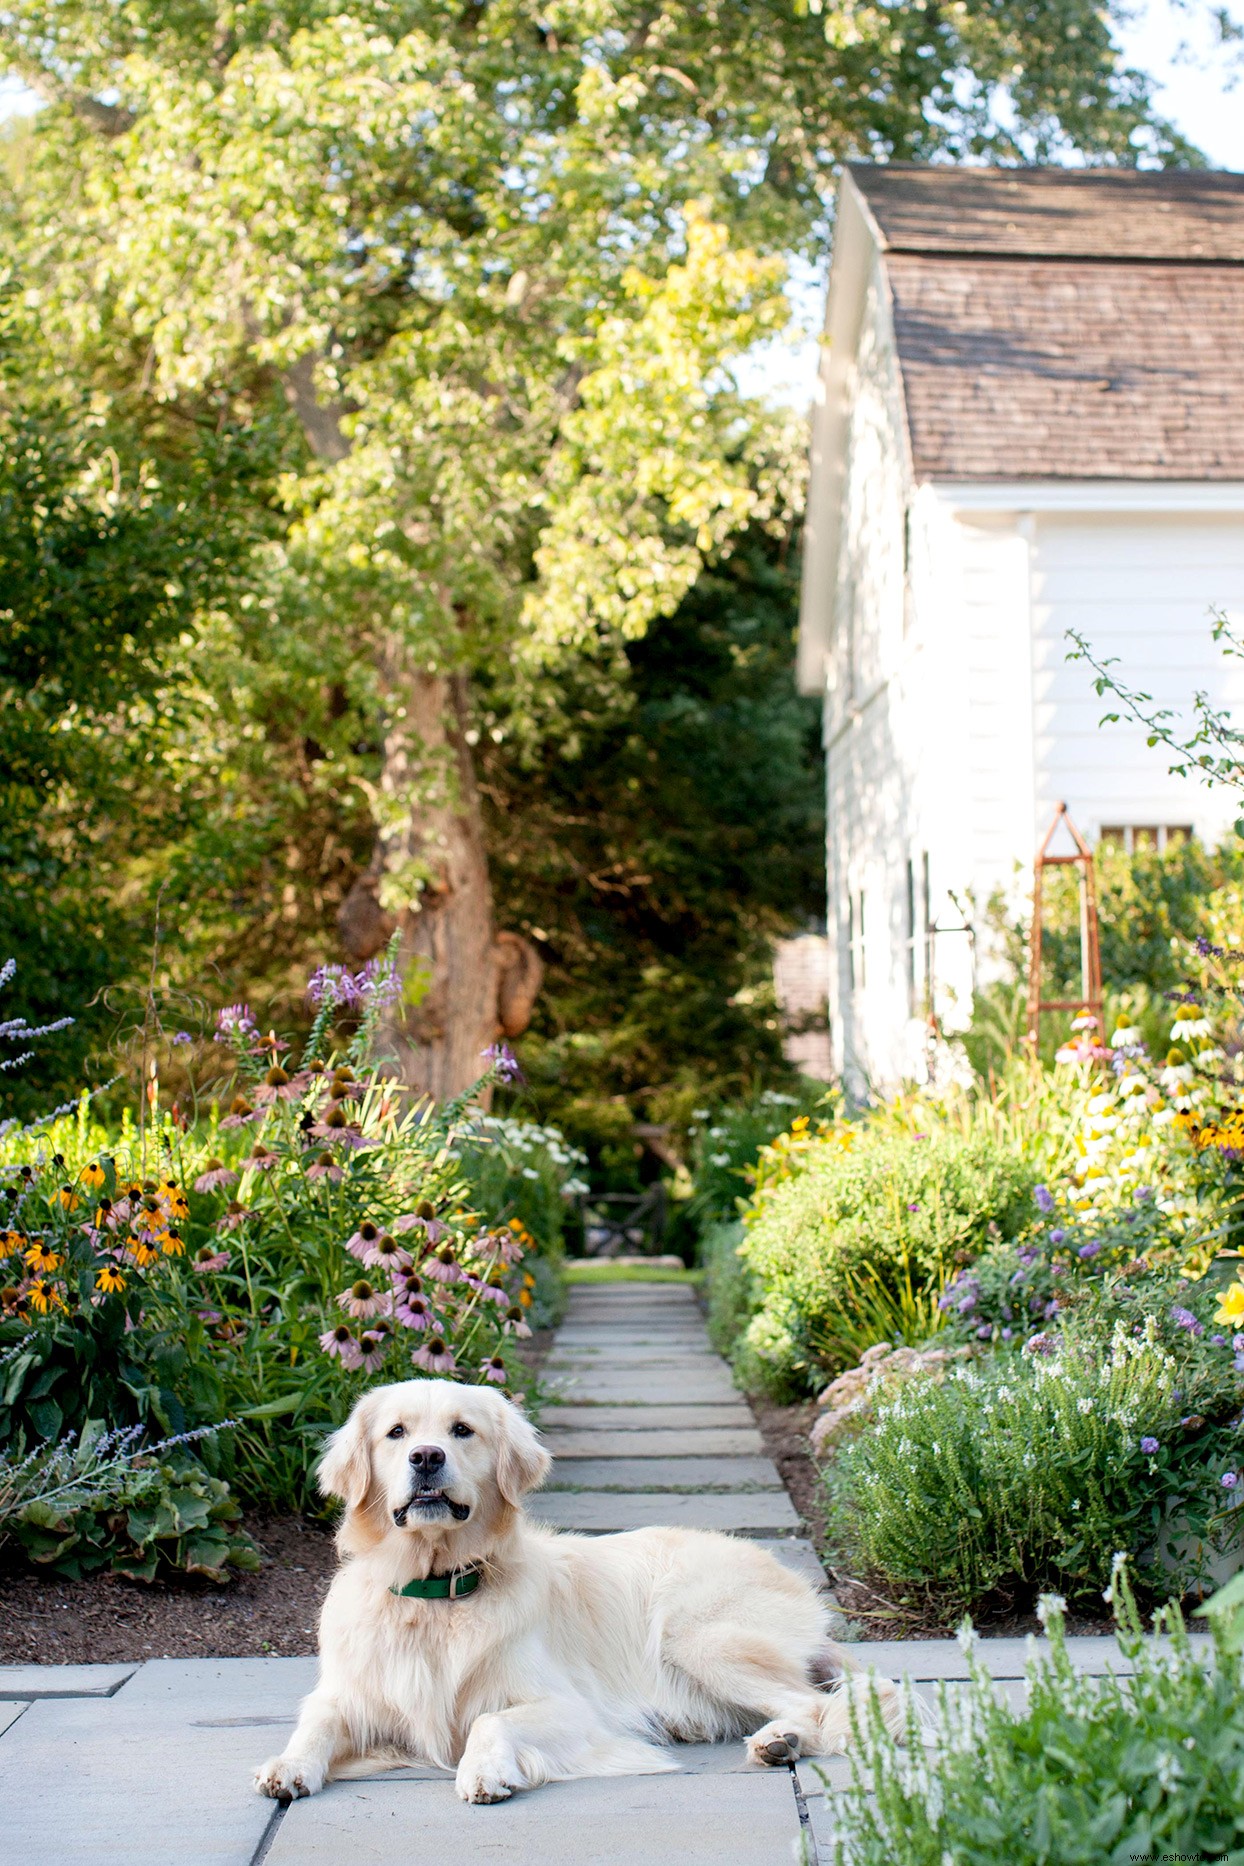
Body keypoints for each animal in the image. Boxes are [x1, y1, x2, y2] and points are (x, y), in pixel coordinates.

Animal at [257, 1380, 906, 1798]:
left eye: (462, 1430)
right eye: (396, 1433)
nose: (426, 1457)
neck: (434, 1592)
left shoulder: (570, 1708)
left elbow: (489, 1721)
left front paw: (483, 1771)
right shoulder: (350, 1695)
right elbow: (315, 1722)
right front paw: (288, 1765)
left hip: (696, 1635)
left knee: (818, 1706)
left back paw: (780, 1741)